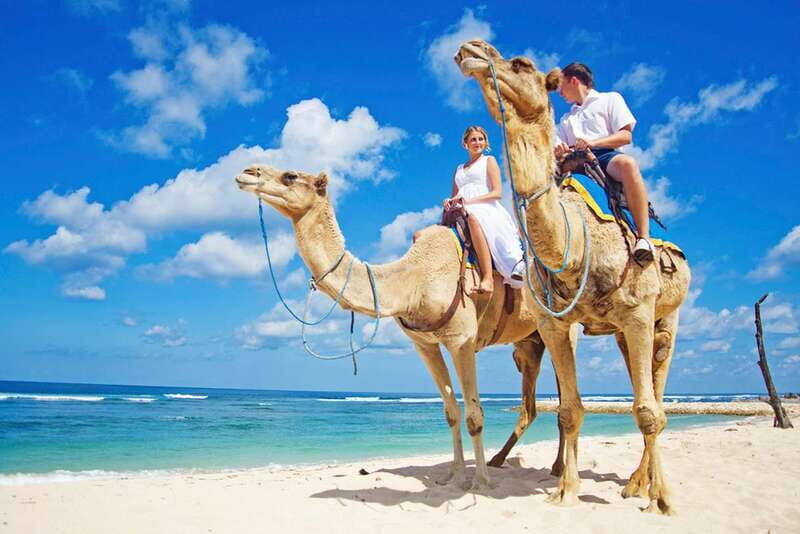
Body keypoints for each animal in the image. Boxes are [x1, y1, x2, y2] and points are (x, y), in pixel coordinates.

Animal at [235, 164, 559, 490]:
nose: (246, 172)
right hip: (529, 342)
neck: (414, 279)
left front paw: (480, 483)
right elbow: (451, 412)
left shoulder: (461, 340)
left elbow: (474, 415)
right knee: (535, 405)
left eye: (290, 176)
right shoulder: (425, 344)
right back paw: (514, 462)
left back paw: (550, 470)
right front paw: (453, 476)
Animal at [455, 40, 691, 515]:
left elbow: (648, 411)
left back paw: (643, 486)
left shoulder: (638, 313)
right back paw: (633, 483)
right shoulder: (554, 323)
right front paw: (566, 490)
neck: (575, 244)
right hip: (618, 333)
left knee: (655, 397)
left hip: (665, 319)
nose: (473, 48)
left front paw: (664, 501)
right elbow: (568, 409)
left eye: (521, 63)